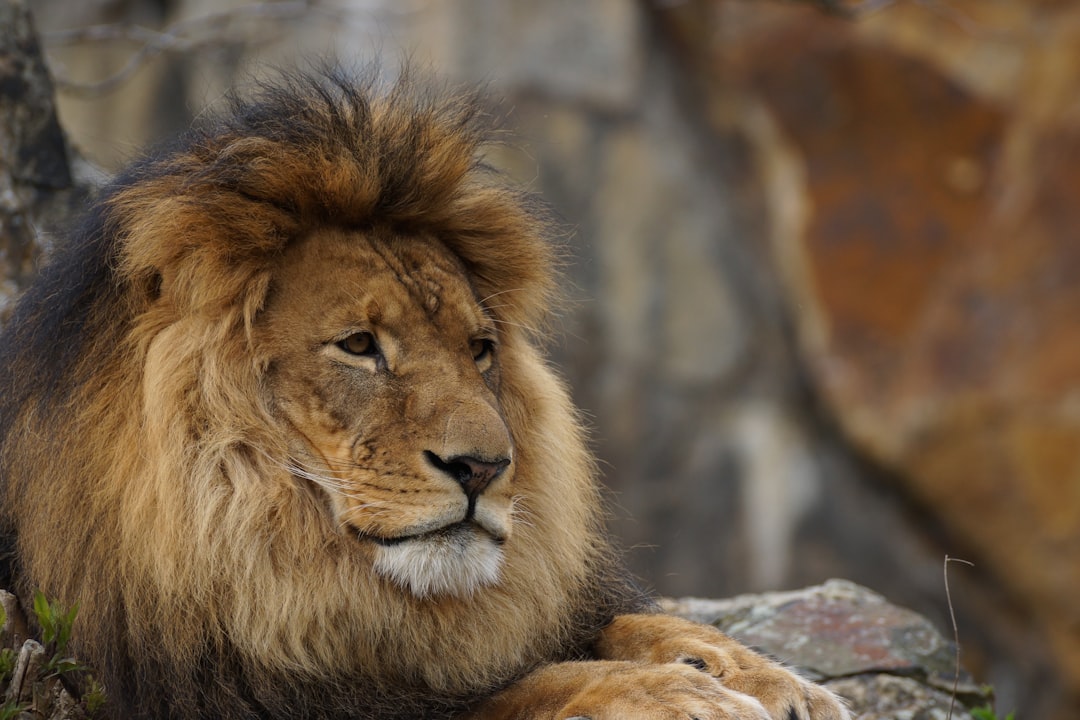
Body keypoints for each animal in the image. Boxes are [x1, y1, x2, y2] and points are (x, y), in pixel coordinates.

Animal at [0, 69, 851, 720]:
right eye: (359, 345)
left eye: (479, 351)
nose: (483, 468)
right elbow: (514, 693)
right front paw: (675, 694)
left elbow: (611, 625)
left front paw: (761, 676)